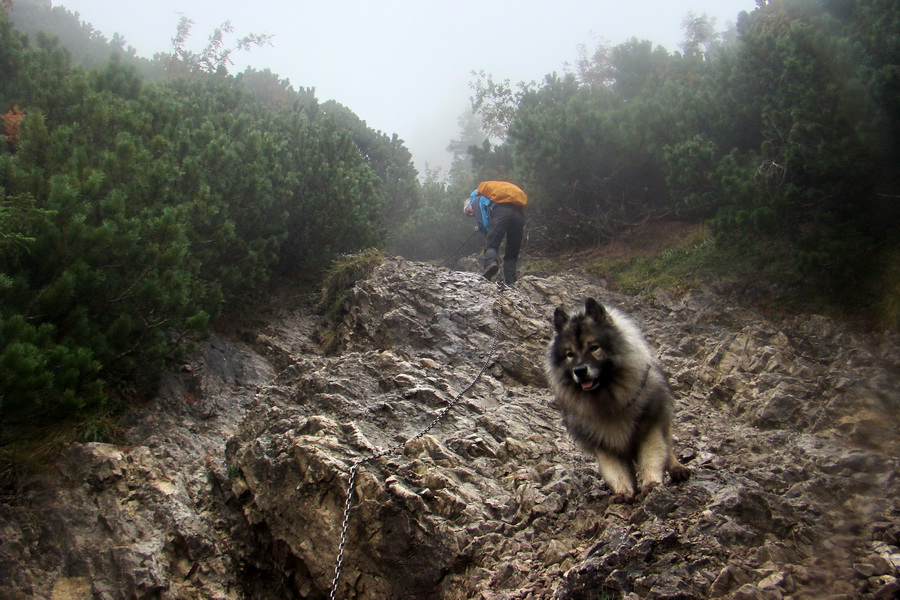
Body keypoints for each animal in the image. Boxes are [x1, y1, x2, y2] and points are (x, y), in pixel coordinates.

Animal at [544, 298, 692, 500]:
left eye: (594, 348)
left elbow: (652, 457)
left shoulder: (650, 428)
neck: (611, 400)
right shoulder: (604, 443)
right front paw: (623, 491)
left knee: (668, 447)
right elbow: (616, 471)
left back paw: (677, 468)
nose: (580, 371)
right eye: (570, 354)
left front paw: (651, 482)